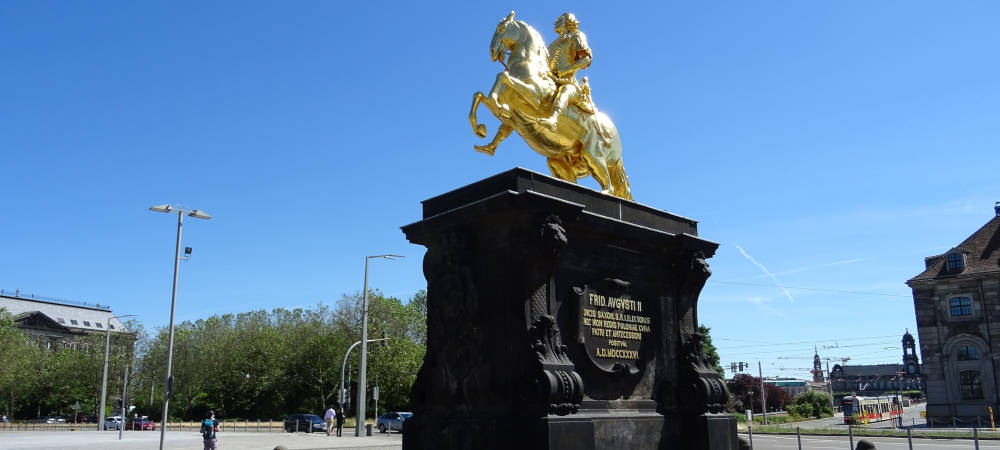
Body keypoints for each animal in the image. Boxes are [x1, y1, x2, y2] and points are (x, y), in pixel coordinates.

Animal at [468, 11, 632, 200]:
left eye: (501, 28)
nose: (492, 52)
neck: (528, 66)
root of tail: (614, 134)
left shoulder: (536, 98)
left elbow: (502, 76)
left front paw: (496, 105)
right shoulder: (512, 113)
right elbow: (481, 96)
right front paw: (480, 128)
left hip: (592, 156)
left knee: (609, 187)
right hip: (558, 161)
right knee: (574, 182)